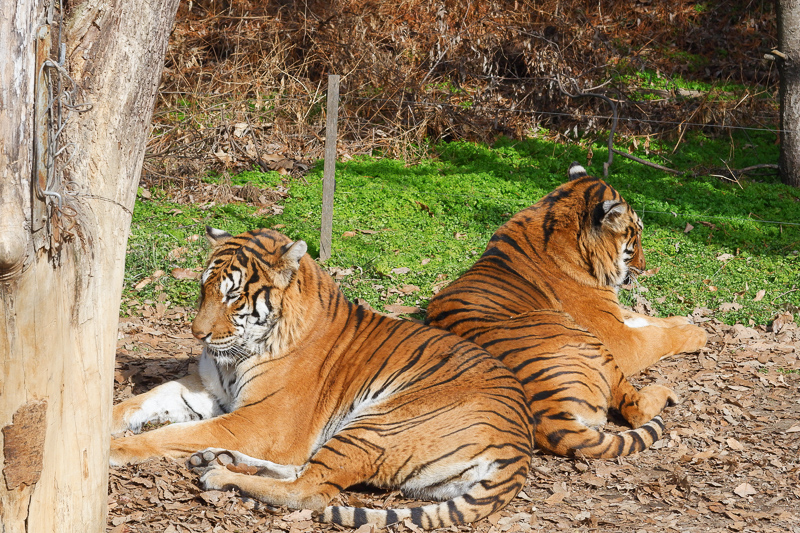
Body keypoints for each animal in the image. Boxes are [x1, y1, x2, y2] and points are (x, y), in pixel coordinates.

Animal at [106, 225, 532, 528]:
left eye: (232, 296)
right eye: (203, 290)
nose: (198, 334)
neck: (238, 353)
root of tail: (519, 448)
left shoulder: (264, 421)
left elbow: (173, 433)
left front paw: (114, 449)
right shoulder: (205, 391)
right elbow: (142, 401)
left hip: (379, 423)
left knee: (312, 490)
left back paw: (219, 474)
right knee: (305, 470)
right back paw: (220, 458)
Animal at [424, 162, 708, 458]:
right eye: (636, 236)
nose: (644, 266)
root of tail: (545, 412)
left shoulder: (614, 313)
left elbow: (645, 319)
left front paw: (683, 320)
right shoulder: (618, 338)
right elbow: (658, 337)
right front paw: (698, 334)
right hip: (591, 344)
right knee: (636, 408)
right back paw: (668, 393)